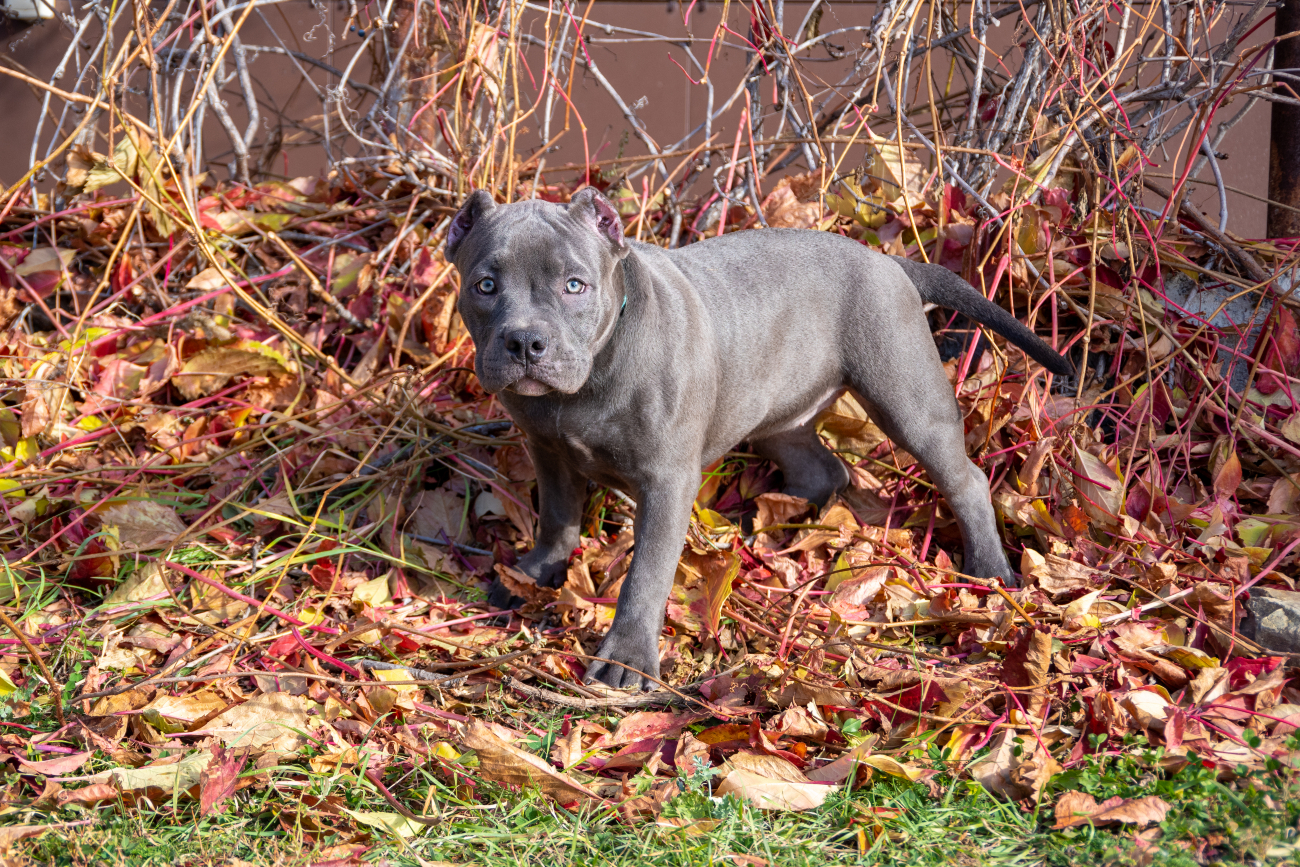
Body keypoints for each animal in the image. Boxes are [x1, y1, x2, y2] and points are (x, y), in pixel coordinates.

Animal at [441, 188, 1071, 691]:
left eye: (575, 286)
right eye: (485, 285)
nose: (526, 343)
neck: (589, 376)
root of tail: (889, 262)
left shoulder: (666, 480)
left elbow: (646, 574)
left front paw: (627, 659)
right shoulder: (546, 449)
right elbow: (556, 517)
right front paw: (533, 574)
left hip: (907, 398)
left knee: (965, 478)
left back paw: (988, 569)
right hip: (775, 416)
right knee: (822, 470)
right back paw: (767, 531)